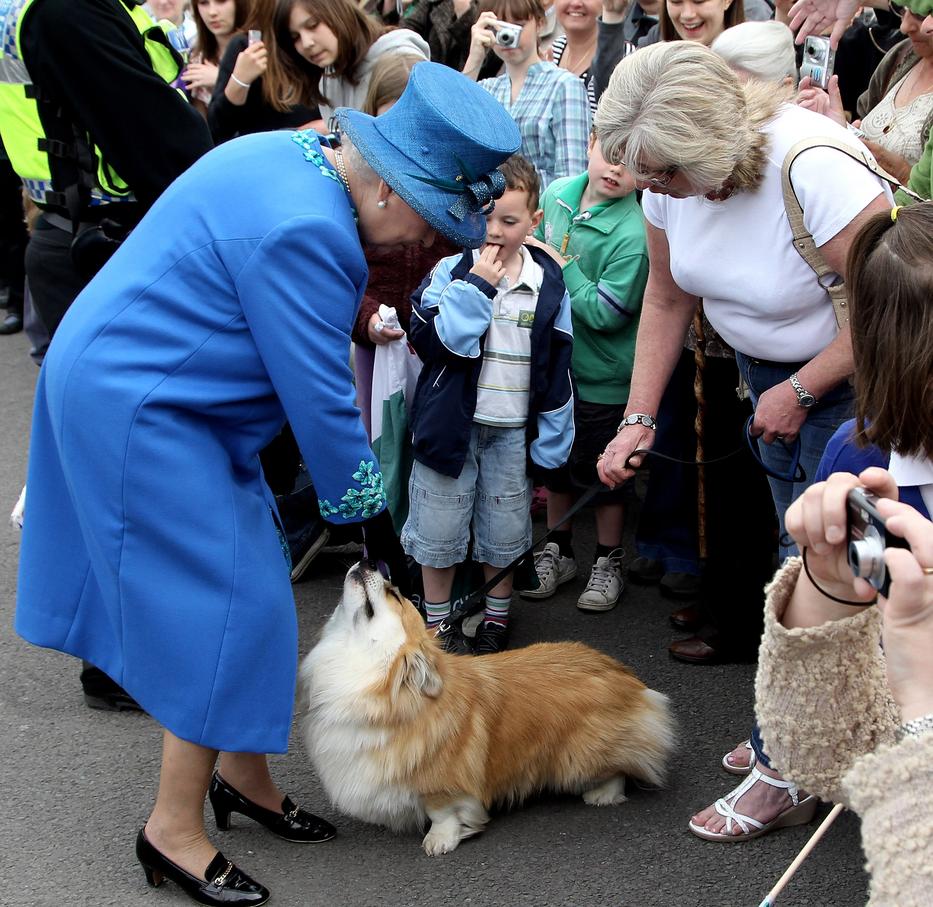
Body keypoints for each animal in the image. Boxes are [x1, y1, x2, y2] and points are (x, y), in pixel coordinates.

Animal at [302, 564, 672, 856]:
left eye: (393, 593)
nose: (366, 562)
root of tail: (625, 675)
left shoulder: (441, 783)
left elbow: (443, 813)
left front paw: (440, 841)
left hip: (579, 757)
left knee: (622, 767)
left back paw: (603, 794)